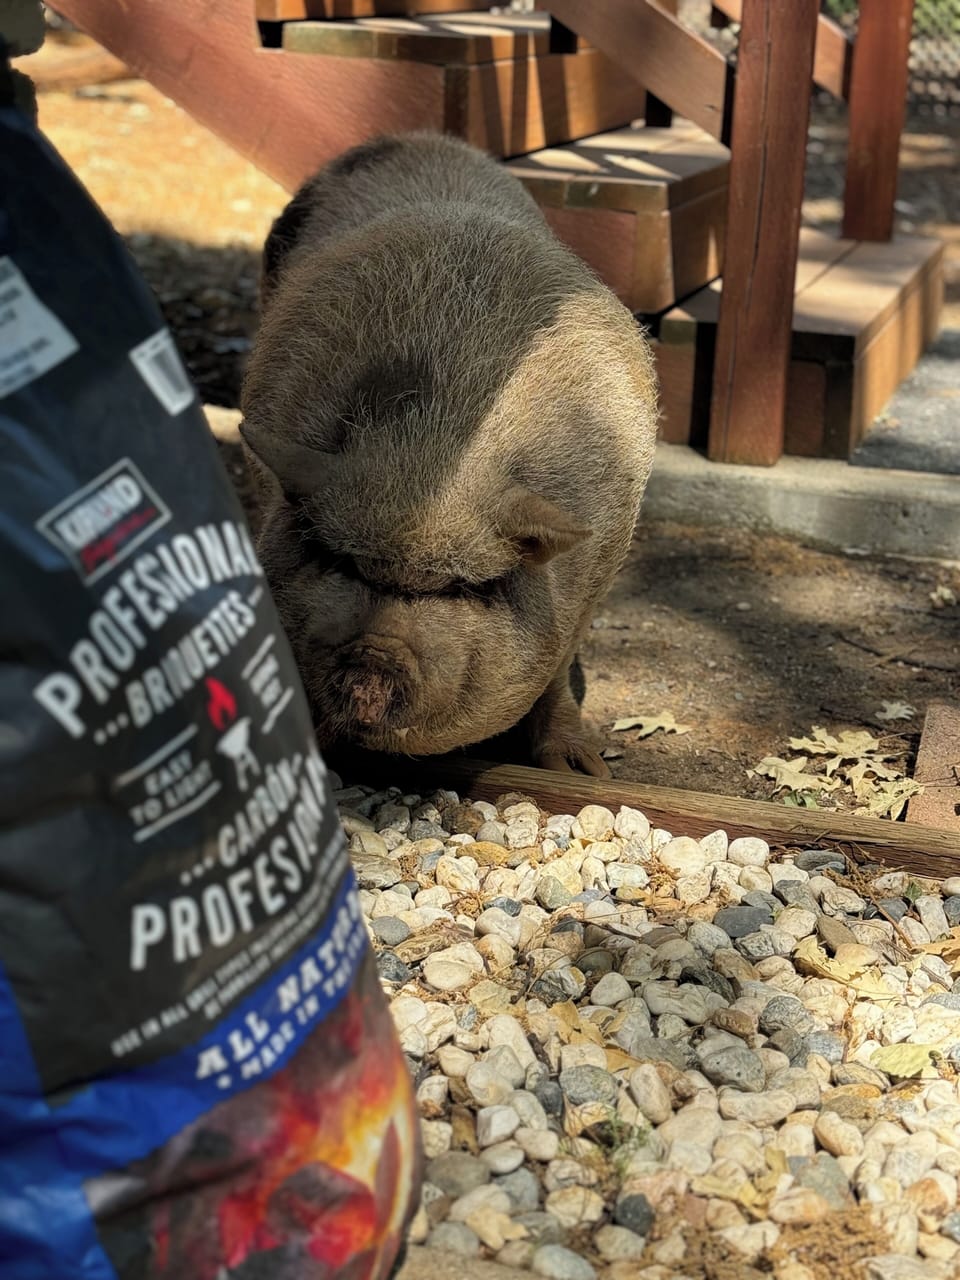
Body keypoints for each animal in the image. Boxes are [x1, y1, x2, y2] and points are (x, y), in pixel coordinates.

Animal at [239, 133, 657, 776]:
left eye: (459, 587)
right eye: (343, 563)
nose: (374, 660)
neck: (433, 457)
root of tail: (414, 139)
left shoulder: (597, 573)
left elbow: (558, 669)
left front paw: (582, 771)